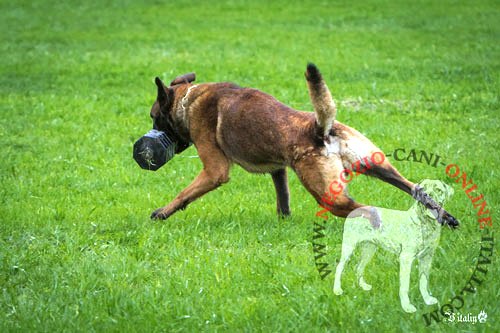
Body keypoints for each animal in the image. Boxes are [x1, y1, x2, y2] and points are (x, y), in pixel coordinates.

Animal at [146, 63, 458, 227]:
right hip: (378, 165)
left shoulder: (214, 171)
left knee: (369, 210)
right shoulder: (278, 169)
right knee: (417, 190)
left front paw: (162, 212)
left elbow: (184, 193)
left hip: (327, 194)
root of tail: (320, 129)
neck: (189, 100)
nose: (149, 140)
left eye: (153, 117)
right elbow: (283, 199)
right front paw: (284, 223)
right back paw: (447, 219)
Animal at [334, 179, 456, 312]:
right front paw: (407, 307)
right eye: (423, 189)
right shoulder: (406, 258)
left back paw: (363, 286)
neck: (425, 223)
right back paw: (337, 290)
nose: (427, 196)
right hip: (349, 247)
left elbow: (423, 281)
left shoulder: (427, 257)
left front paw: (428, 300)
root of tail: (354, 210)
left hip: (369, 249)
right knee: (339, 267)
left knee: (359, 267)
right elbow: (405, 285)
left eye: (438, 189)